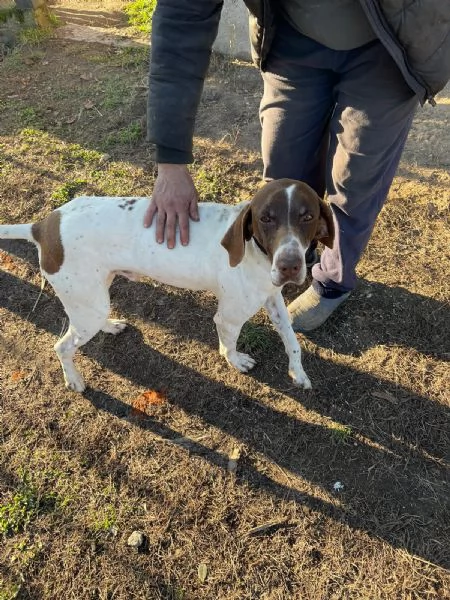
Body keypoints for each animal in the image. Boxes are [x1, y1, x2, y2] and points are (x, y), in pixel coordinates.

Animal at [0, 179, 332, 394]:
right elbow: (228, 346)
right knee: (62, 346)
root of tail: (43, 226)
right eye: (266, 218)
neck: (255, 252)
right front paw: (236, 361)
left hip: (94, 298)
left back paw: (110, 326)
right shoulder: (229, 318)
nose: (290, 265)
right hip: (86, 303)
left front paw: (298, 373)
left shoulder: (274, 299)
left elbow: (292, 341)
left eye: (307, 216)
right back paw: (74, 381)